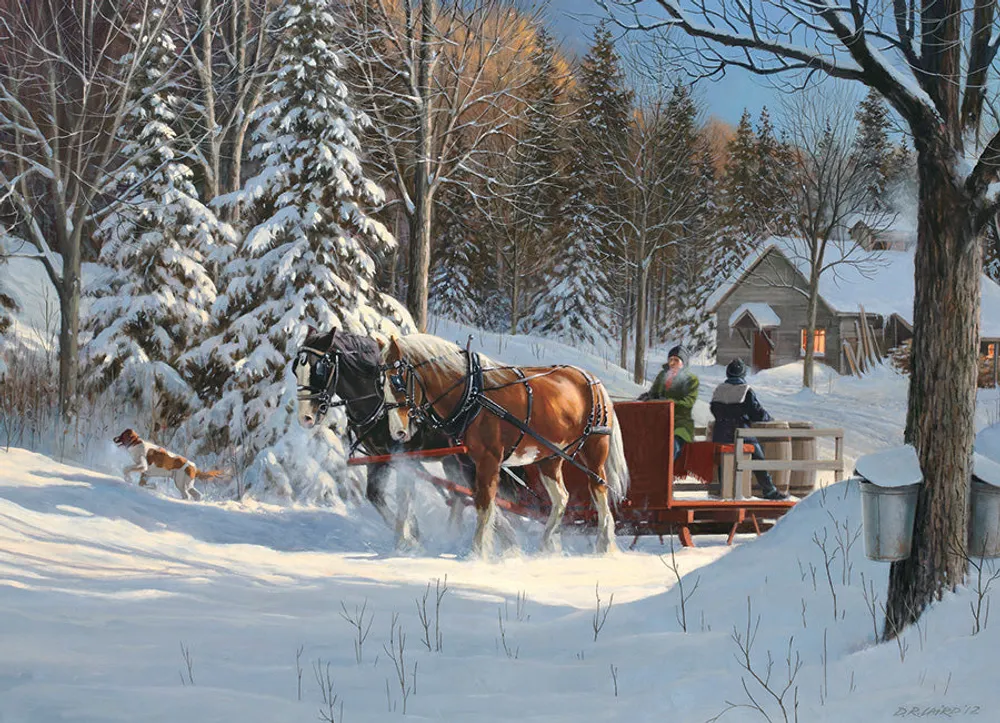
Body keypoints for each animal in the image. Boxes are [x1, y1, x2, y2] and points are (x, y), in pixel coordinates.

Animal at [292, 330, 482, 544]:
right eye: (296, 369)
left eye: (320, 369)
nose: (305, 417)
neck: (379, 401)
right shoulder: (379, 459)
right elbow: (376, 495)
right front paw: (412, 536)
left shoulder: (406, 456)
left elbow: (404, 496)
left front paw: (404, 541)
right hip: (450, 460)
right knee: (458, 496)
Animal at [378, 332, 628, 556]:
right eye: (381, 384)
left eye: (397, 381)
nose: (397, 431)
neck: (472, 393)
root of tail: (592, 379)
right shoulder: (468, 463)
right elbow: (486, 503)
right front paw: (504, 546)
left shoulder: (489, 460)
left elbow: (485, 504)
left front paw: (478, 553)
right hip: (551, 456)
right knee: (561, 497)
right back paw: (547, 545)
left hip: (594, 452)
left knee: (599, 491)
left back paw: (604, 545)